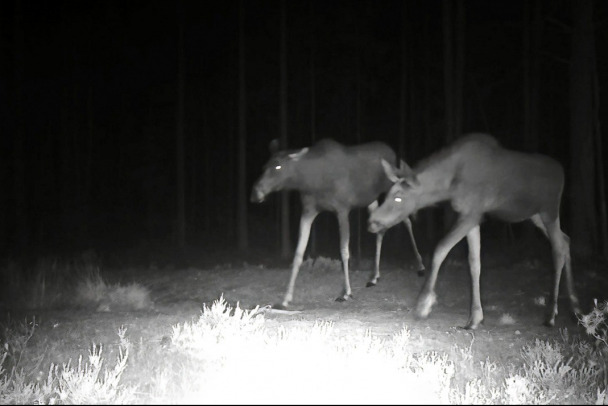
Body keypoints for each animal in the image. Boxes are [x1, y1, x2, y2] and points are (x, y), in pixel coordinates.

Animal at [249, 137, 426, 308]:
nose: (255, 194)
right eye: (264, 166)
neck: (312, 181)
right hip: (371, 199)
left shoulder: (342, 209)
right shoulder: (308, 211)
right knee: (381, 229)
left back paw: (421, 267)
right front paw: (286, 298)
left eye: (278, 167)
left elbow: (344, 251)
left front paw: (346, 292)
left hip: (392, 188)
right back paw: (374, 276)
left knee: (407, 220)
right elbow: (298, 253)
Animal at [368, 133, 580, 330]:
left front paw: (423, 304)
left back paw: (551, 314)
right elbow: (474, 262)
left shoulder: (471, 214)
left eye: (398, 198)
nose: (371, 222)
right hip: (535, 215)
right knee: (566, 240)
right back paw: (574, 308)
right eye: (387, 194)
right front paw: (475, 318)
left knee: (558, 248)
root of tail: (561, 171)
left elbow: (440, 250)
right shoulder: (473, 217)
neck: (449, 185)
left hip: (549, 210)